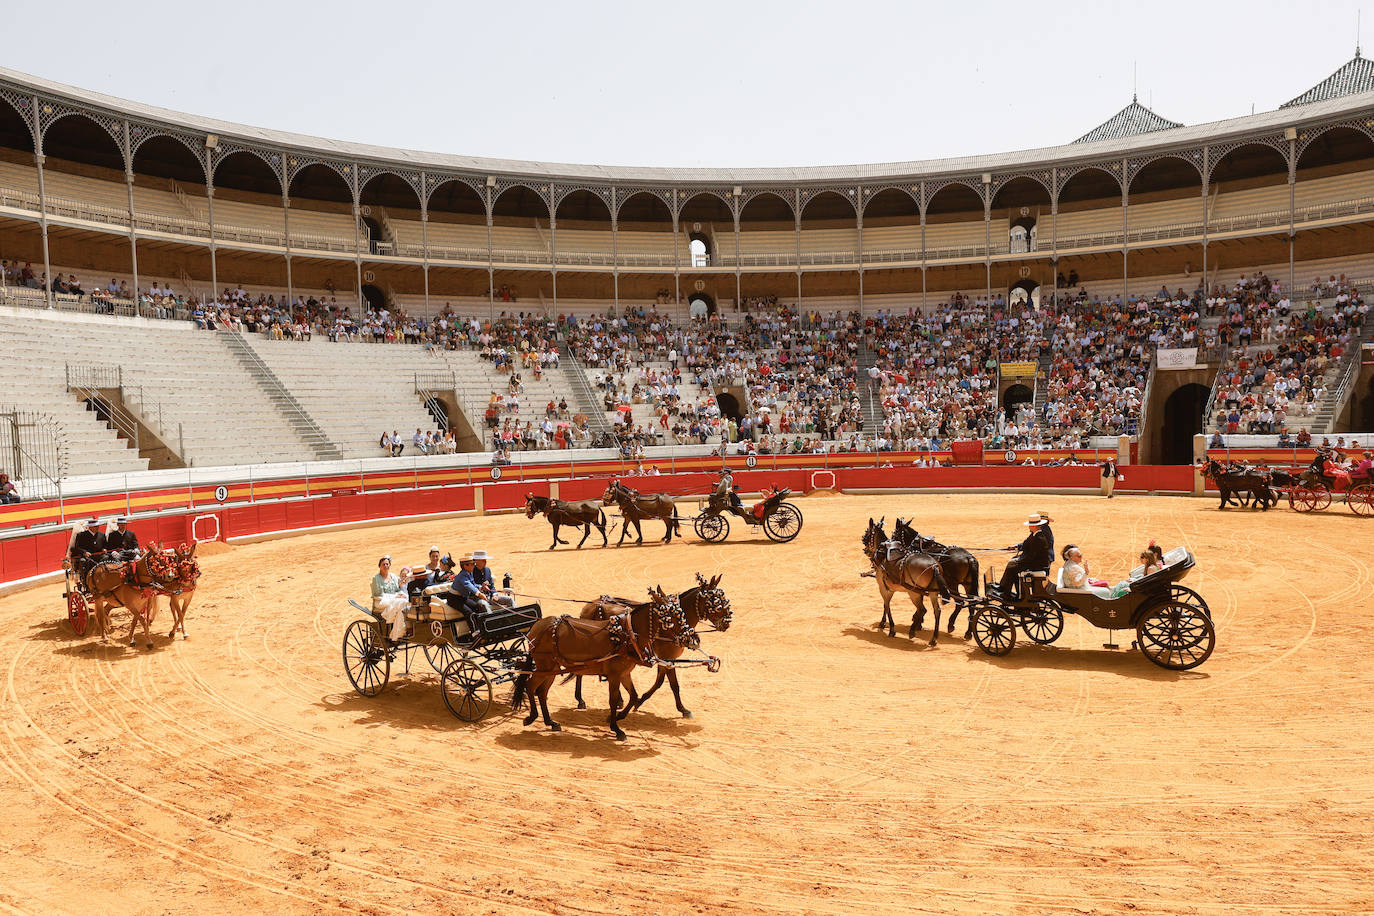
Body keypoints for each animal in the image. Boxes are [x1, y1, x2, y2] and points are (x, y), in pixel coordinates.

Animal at [513, 587, 697, 747]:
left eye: (681, 612)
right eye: (671, 616)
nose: (692, 638)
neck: (627, 635)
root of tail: (537, 626)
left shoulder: (625, 673)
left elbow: (633, 696)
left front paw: (617, 717)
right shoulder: (615, 675)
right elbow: (613, 700)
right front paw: (617, 729)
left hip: (550, 669)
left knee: (541, 692)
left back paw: (550, 722)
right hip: (544, 666)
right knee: (530, 686)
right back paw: (531, 717)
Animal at [574, 574, 736, 714]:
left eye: (723, 599)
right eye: (715, 601)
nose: (727, 623)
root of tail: (591, 605)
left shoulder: (666, 659)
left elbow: (661, 682)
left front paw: (641, 701)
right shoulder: (667, 658)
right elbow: (672, 684)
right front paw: (682, 709)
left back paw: (617, 700)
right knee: (579, 671)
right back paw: (580, 699)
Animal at [862, 519, 950, 648]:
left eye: (867, 533)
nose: (865, 549)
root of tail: (934, 566)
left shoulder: (882, 587)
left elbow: (886, 605)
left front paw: (891, 629)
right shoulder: (891, 589)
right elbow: (886, 605)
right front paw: (883, 623)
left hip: (913, 593)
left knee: (922, 609)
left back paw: (912, 631)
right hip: (932, 592)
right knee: (937, 611)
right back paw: (933, 639)